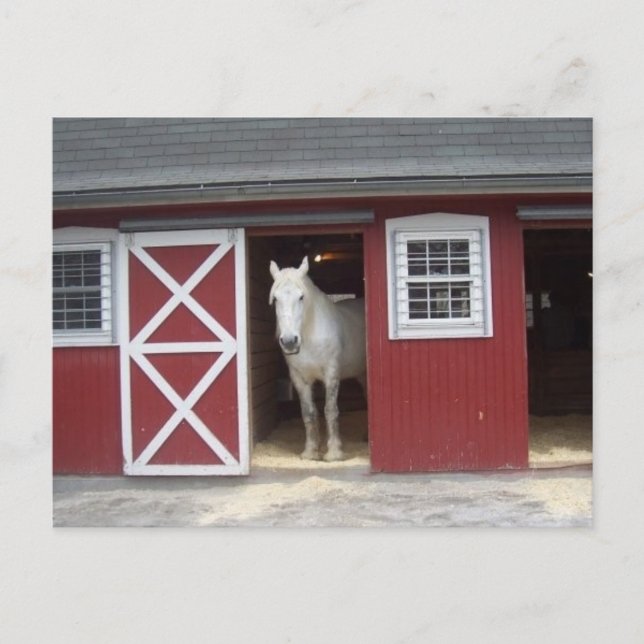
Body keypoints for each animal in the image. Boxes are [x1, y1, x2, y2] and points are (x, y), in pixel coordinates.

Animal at [269, 256, 366, 461]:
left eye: (301, 297)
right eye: (275, 299)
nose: (289, 341)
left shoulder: (331, 375)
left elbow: (330, 411)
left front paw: (334, 452)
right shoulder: (300, 379)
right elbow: (309, 412)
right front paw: (311, 451)